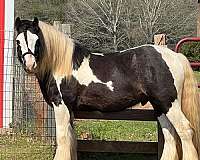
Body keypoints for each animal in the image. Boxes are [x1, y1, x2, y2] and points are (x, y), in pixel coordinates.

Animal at [14, 16, 200, 159]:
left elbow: (63, 139)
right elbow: (71, 139)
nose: (29, 65)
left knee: (185, 132)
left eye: (37, 40)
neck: (61, 64)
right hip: (160, 106)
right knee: (170, 136)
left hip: (169, 104)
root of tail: (175, 56)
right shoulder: (69, 110)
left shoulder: (61, 106)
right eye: (18, 41)